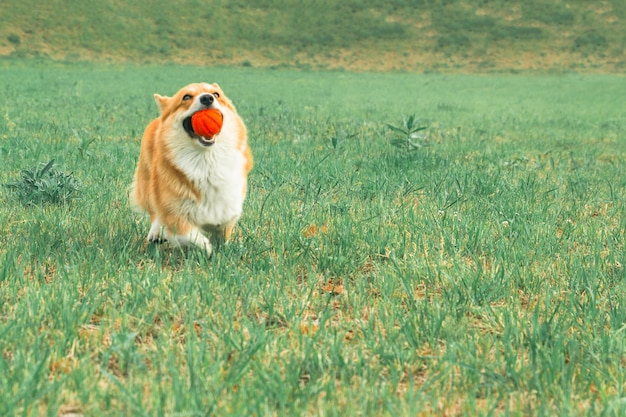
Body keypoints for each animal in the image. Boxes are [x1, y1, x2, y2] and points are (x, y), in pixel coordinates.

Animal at [130, 82, 252, 255]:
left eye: (216, 94)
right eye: (186, 96)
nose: (207, 98)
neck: (205, 161)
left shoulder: (228, 207)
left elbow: (222, 229)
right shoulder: (175, 214)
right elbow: (190, 236)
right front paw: (207, 249)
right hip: (147, 182)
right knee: (154, 211)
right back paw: (155, 233)